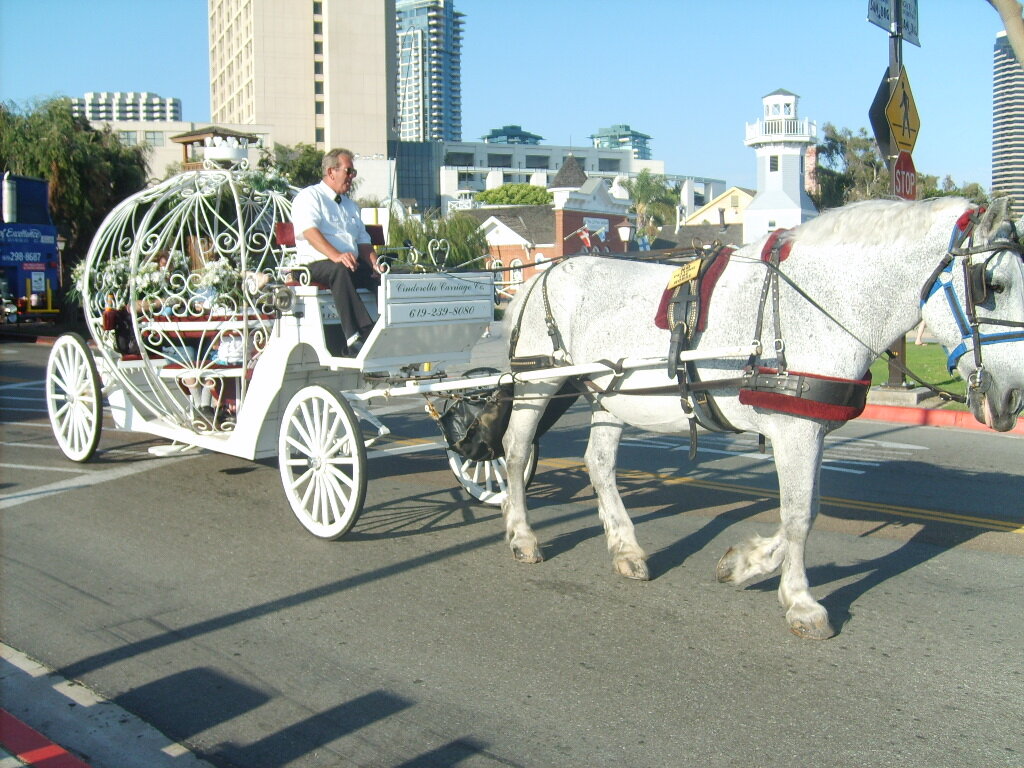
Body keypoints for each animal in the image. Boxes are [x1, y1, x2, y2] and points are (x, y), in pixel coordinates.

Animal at [497, 195, 1024, 638]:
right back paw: (522, 535)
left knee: (600, 464)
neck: (817, 304)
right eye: (992, 285)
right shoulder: (794, 430)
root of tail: (540, 275)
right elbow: (798, 516)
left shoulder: (810, 428)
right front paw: (801, 601)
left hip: (609, 394)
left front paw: (744, 564)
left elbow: (807, 508)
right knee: (515, 451)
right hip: (537, 381)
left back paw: (626, 549)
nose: (1014, 397)